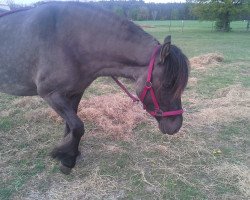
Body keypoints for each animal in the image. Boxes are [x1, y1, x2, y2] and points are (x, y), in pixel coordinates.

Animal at [0, 1, 188, 173]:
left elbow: (70, 126)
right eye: (168, 84)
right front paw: (65, 157)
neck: (69, 41)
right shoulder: (50, 94)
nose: (175, 126)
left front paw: (68, 155)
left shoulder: (75, 92)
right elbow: (77, 126)